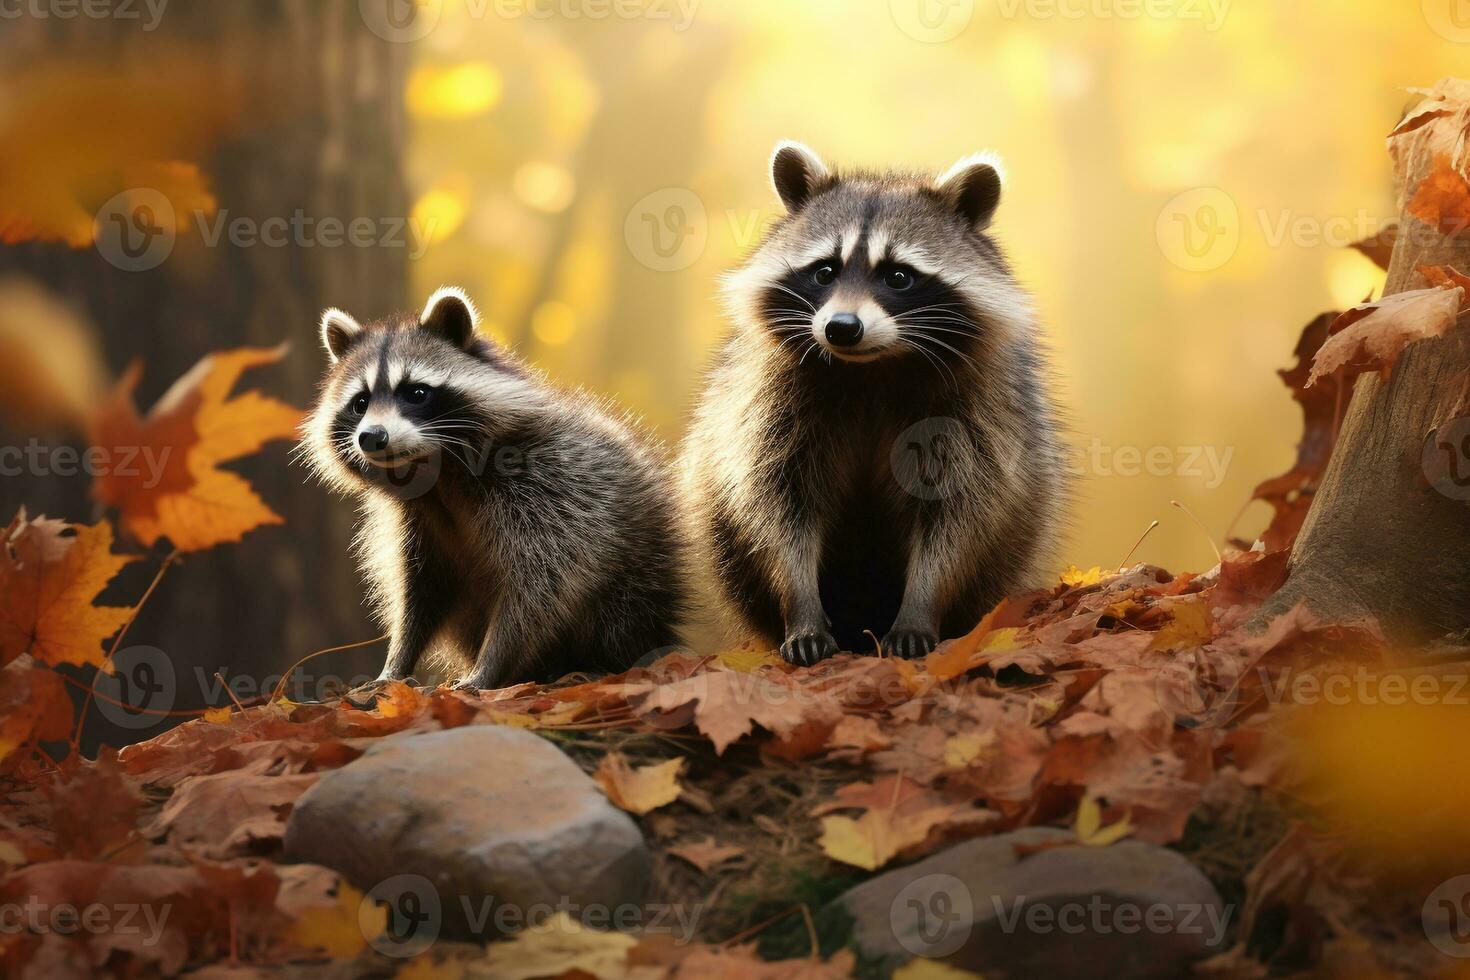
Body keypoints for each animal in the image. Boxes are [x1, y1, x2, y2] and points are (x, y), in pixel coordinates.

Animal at [302, 287, 687, 690]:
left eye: (416, 392)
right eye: (360, 403)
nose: (372, 437)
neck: (439, 473)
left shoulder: (555, 488)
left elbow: (541, 588)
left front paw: (490, 664)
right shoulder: (418, 523)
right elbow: (420, 593)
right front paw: (397, 662)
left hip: (639, 577)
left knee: (619, 612)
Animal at [676, 143, 1070, 667]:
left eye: (899, 276)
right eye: (825, 271)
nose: (842, 328)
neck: (870, 369)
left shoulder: (980, 414)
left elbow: (959, 515)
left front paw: (921, 605)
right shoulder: (767, 403)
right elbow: (775, 505)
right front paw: (800, 605)